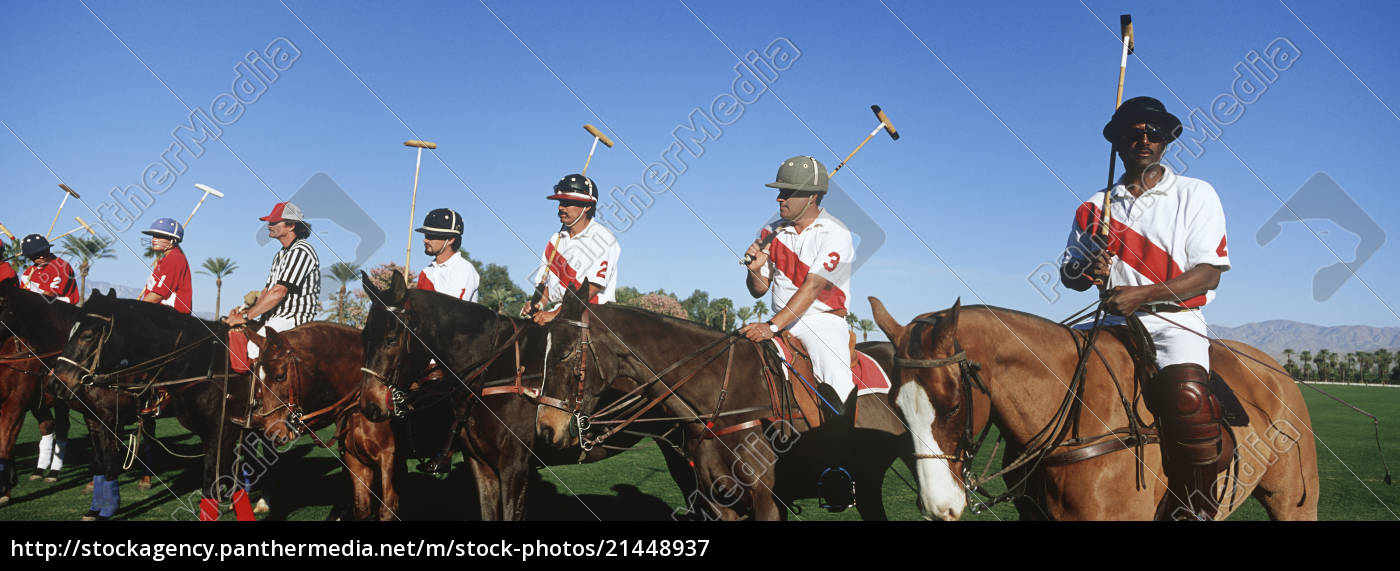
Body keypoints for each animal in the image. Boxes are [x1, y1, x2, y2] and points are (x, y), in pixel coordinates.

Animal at [48, 288, 252, 520]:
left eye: (87, 335)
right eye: (69, 333)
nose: (55, 383)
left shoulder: (110, 420)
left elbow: (109, 462)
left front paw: (108, 508)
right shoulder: (92, 419)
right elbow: (99, 462)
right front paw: (94, 507)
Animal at [240, 323, 403, 520]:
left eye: (280, 376)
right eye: (256, 378)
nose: (272, 432)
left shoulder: (389, 458)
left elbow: (387, 510)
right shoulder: (355, 461)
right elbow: (362, 508)